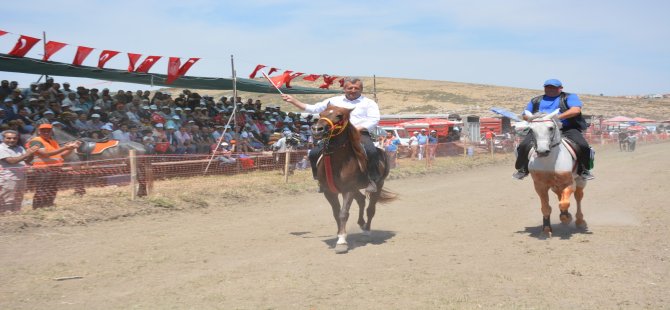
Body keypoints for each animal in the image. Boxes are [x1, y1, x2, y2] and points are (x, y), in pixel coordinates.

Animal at [312, 104, 396, 254]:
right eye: (321, 113)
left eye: (339, 116)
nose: (317, 129)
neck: (337, 162)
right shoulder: (329, 191)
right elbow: (336, 213)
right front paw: (340, 235)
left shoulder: (348, 190)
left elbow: (343, 213)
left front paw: (341, 242)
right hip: (356, 188)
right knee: (362, 200)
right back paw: (361, 224)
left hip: (378, 184)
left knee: (370, 209)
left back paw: (367, 232)